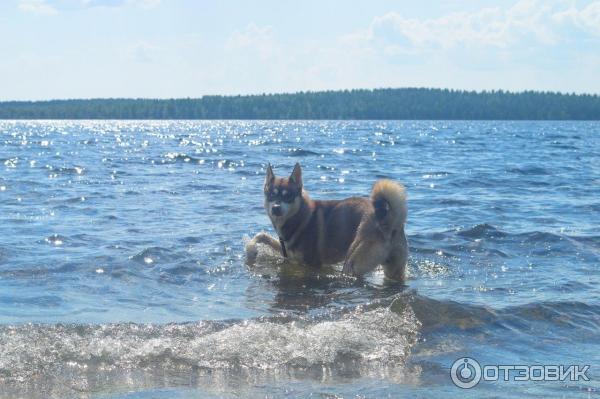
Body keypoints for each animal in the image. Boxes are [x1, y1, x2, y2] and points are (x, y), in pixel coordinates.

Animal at [245, 164, 408, 280]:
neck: (300, 217)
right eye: (272, 195)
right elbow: (262, 236)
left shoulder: (312, 264)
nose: (276, 208)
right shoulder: (289, 254)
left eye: (288, 196)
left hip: (353, 262)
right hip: (394, 269)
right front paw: (251, 249)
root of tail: (387, 221)